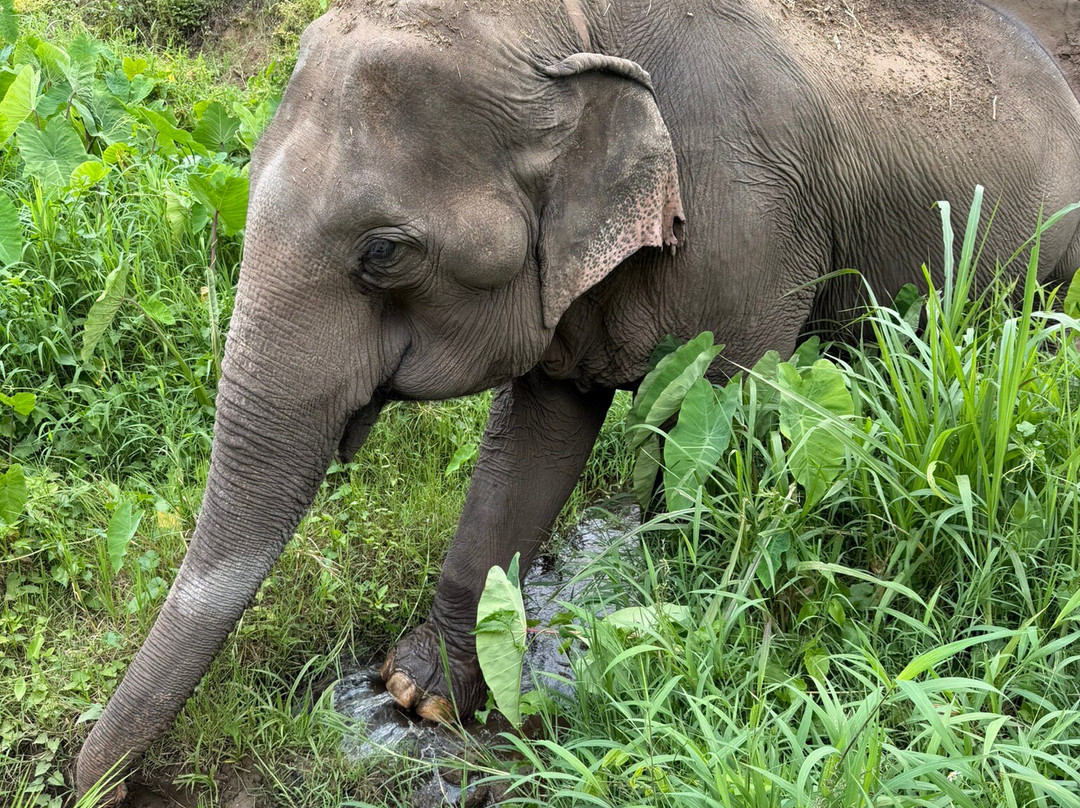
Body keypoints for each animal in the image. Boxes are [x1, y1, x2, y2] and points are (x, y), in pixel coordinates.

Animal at [75, 0, 1080, 800]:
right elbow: (535, 437)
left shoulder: (752, 228)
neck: (562, 28)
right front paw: (420, 695)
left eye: (384, 253)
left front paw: (664, 661)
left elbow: (721, 440)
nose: (89, 785)